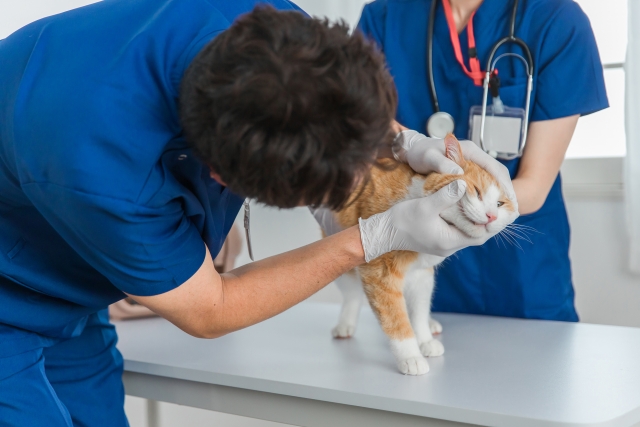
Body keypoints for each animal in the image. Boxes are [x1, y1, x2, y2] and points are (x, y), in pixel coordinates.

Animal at [328, 134, 516, 374]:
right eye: (477, 191)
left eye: (500, 204)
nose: (492, 216)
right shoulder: (379, 275)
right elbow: (396, 319)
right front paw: (410, 356)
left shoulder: (422, 274)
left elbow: (417, 311)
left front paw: (424, 339)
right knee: (352, 294)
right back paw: (346, 323)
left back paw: (430, 323)